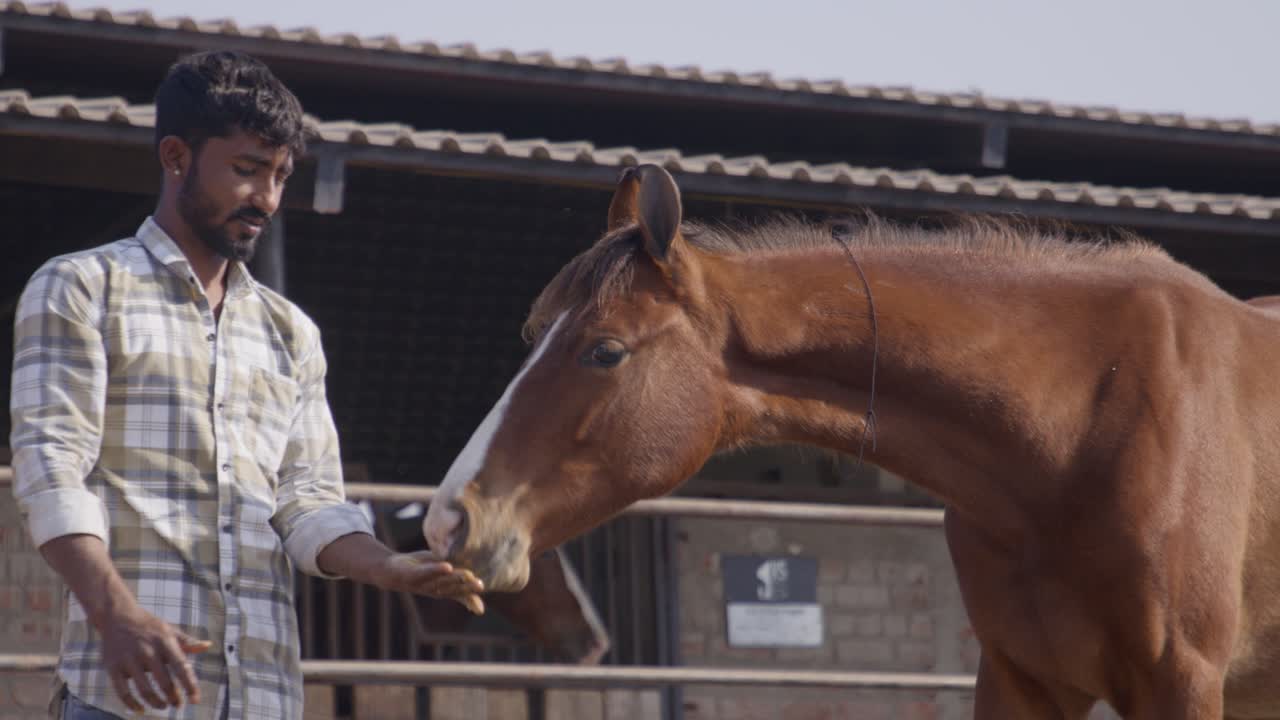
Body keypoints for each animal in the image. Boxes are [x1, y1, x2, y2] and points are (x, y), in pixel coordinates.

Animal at [422, 164, 1280, 719]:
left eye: (604, 351)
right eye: (532, 335)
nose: (450, 519)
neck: (1080, 425)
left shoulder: (1181, 681)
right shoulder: (1020, 679)